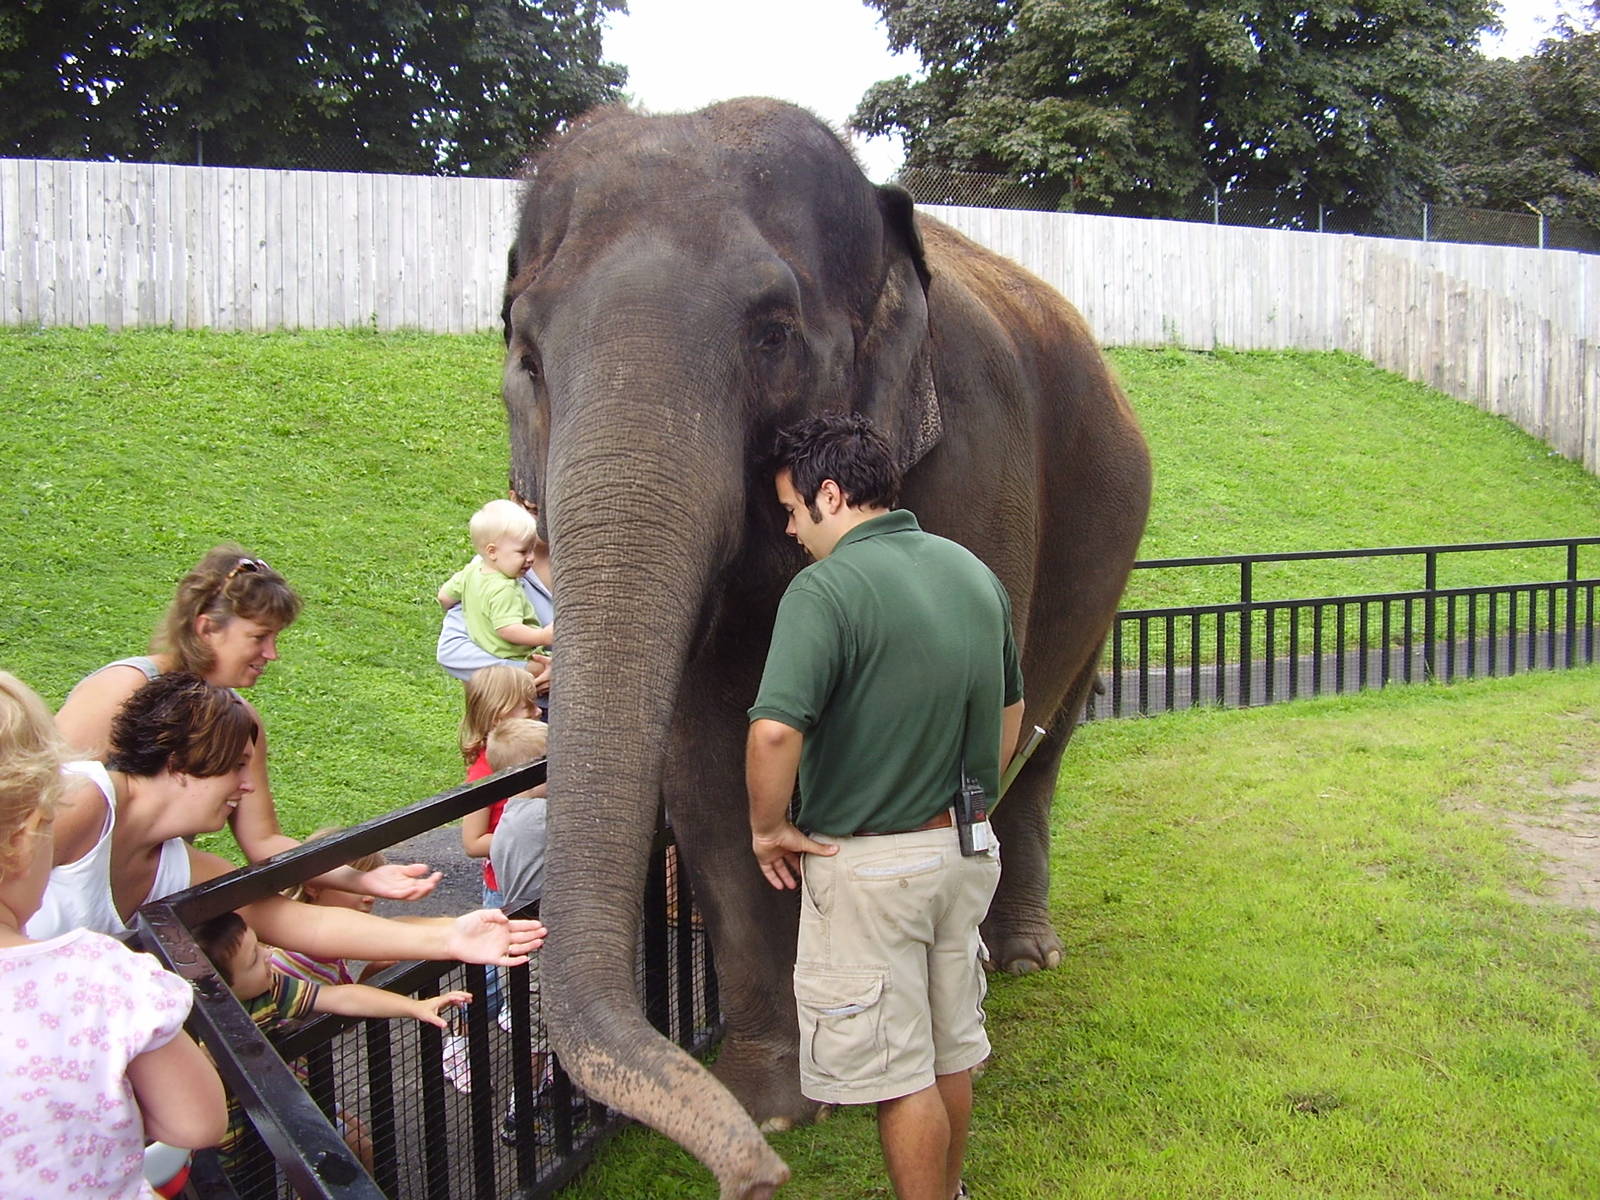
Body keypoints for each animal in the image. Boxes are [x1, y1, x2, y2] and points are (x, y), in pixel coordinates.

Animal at [498, 97, 1151, 1197]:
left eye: (771, 335)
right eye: (529, 359)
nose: (752, 1177)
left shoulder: (976, 456)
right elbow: (708, 764)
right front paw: (775, 1104)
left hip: (1116, 544)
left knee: (1047, 737)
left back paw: (1019, 958)